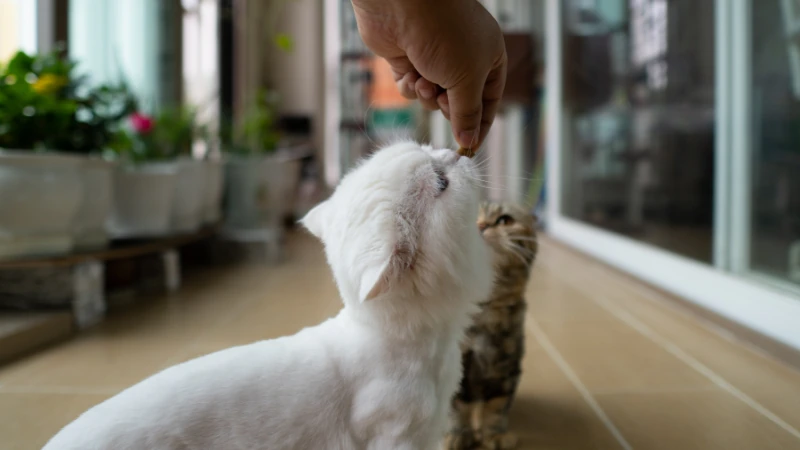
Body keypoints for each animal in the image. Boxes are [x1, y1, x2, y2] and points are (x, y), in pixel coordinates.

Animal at [444, 202, 536, 448]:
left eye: (504, 220)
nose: (481, 225)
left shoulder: (505, 371)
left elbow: (496, 409)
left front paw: (494, 436)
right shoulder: (458, 371)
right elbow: (457, 408)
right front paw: (458, 435)